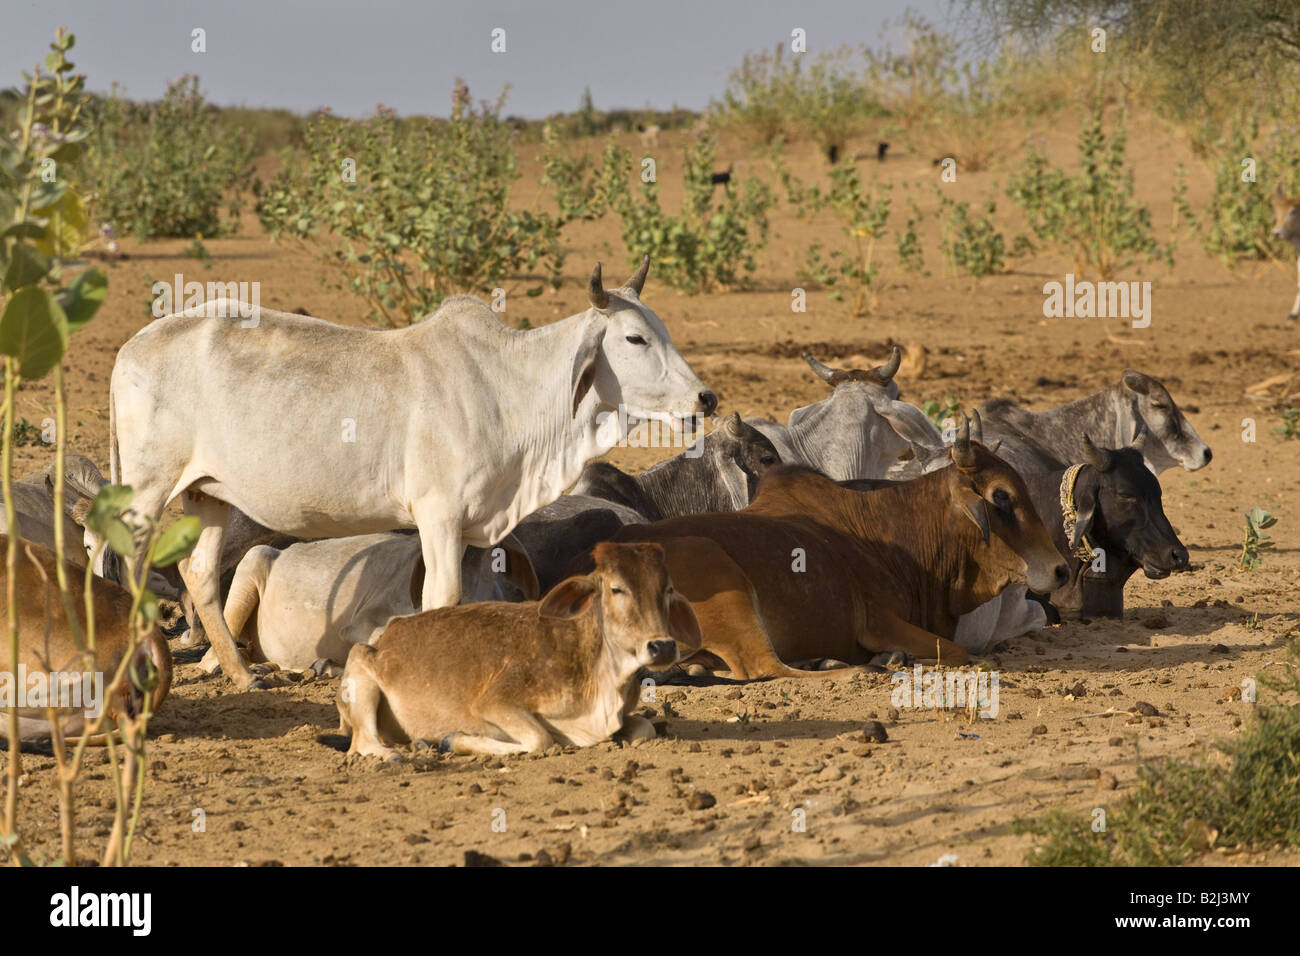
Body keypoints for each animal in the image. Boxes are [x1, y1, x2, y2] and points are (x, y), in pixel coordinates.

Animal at [337, 541, 701, 759]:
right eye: (617, 589)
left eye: (668, 590)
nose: (662, 646)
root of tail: (387, 635)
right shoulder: (495, 701)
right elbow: (540, 739)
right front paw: (453, 739)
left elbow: (645, 728)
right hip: (359, 667)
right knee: (363, 743)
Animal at [608, 420, 1068, 678]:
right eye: (1001, 496)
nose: (1061, 570)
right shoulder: (878, 620)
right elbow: (958, 652)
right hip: (726, 588)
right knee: (763, 669)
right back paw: (860, 668)